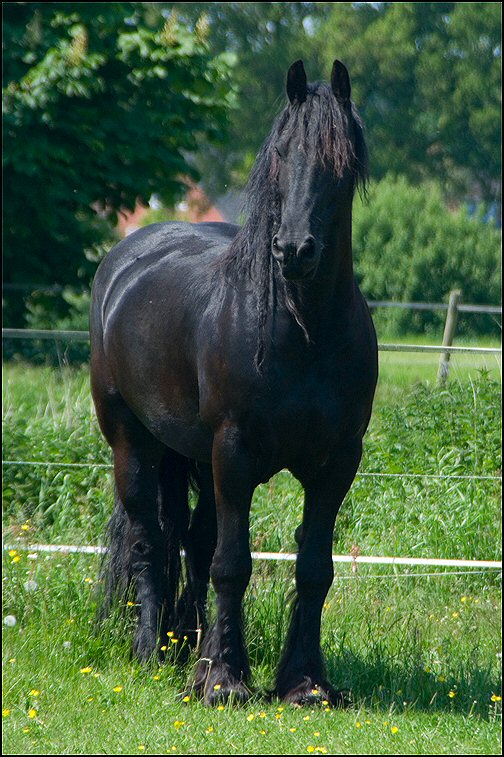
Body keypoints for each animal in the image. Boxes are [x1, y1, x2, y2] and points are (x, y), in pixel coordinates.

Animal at [90, 58, 378, 706]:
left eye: (341, 161)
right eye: (282, 155)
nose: (294, 249)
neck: (303, 332)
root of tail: (126, 258)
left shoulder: (338, 461)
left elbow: (313, 567)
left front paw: (305, 682)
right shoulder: (235, 453)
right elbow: (233, 563)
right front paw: (223, 680)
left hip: (190, 454)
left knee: (191, 545)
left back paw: (185, 647)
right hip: (134, 445)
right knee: (151, 541)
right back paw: (152, 653)